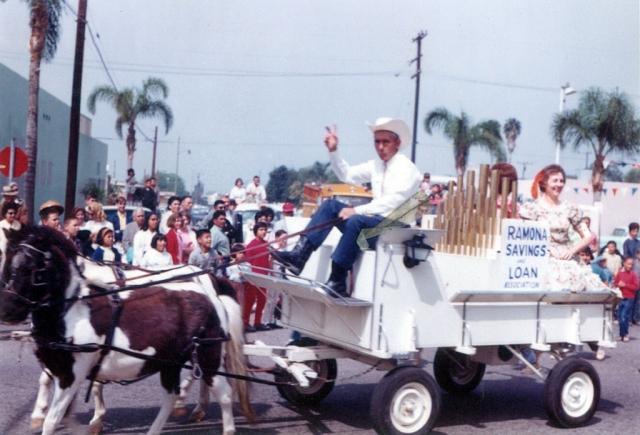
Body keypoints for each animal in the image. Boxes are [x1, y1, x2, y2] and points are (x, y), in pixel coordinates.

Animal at [0, 228, 255, 435]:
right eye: (6, 262)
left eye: (32, 269)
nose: (7, 310)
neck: (71, 309)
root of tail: (212, 294)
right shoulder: (63, 369)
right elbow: (58, 401)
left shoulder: (72, 373)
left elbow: (55, 418)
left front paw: (93, 420)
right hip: (172, 361)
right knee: (173, 394)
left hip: (207, 354)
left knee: (222, 393)